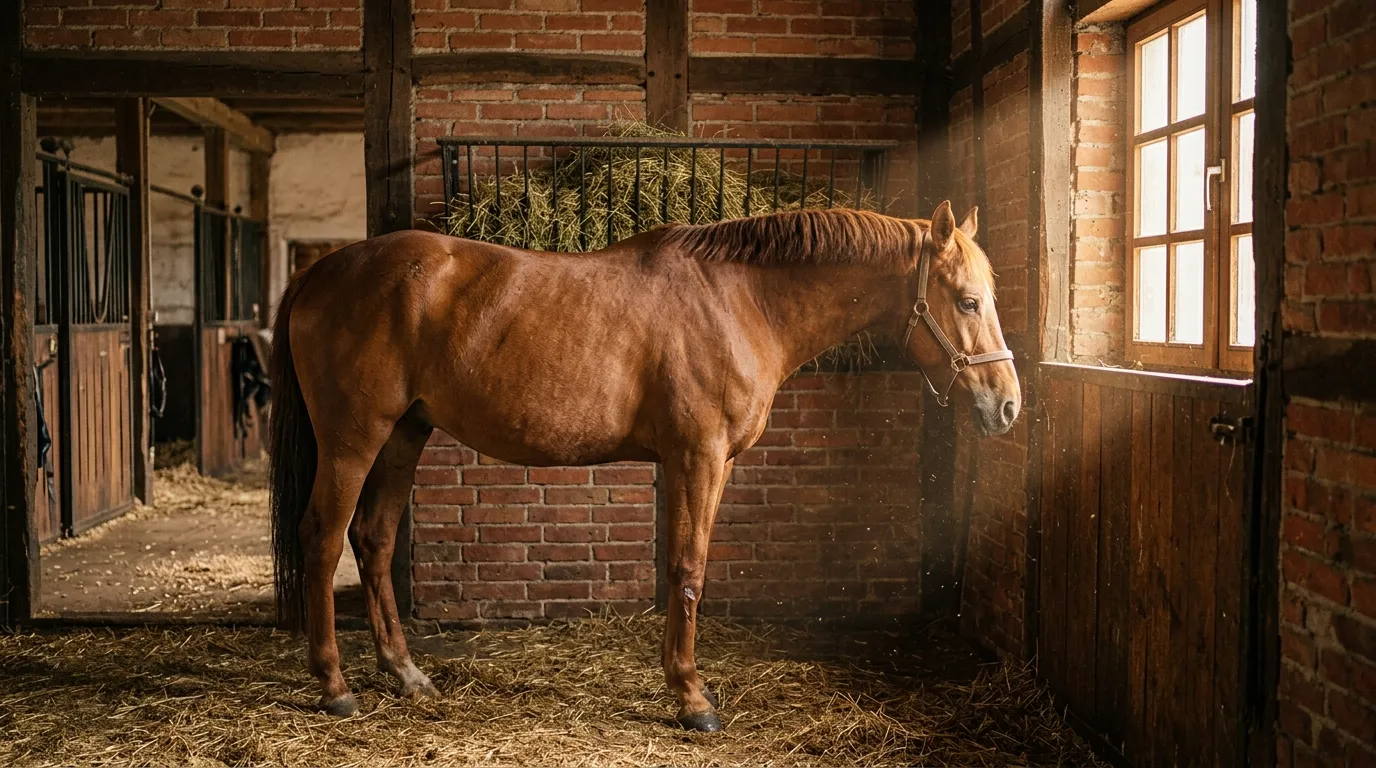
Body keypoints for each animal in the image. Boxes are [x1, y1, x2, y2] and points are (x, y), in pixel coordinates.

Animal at [269, 201, 1020, 731]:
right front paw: (692, 698)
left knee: (373, 539)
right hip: (354, 437)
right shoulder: (697, 457)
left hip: (405, 433)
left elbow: (685, 567)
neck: (743, 300)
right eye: (967, 300)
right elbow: (687, 568)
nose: (1008, 405)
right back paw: (334, 687)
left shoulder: (707, 464)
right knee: (324, 538)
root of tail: (322, 271)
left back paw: (407, 674)